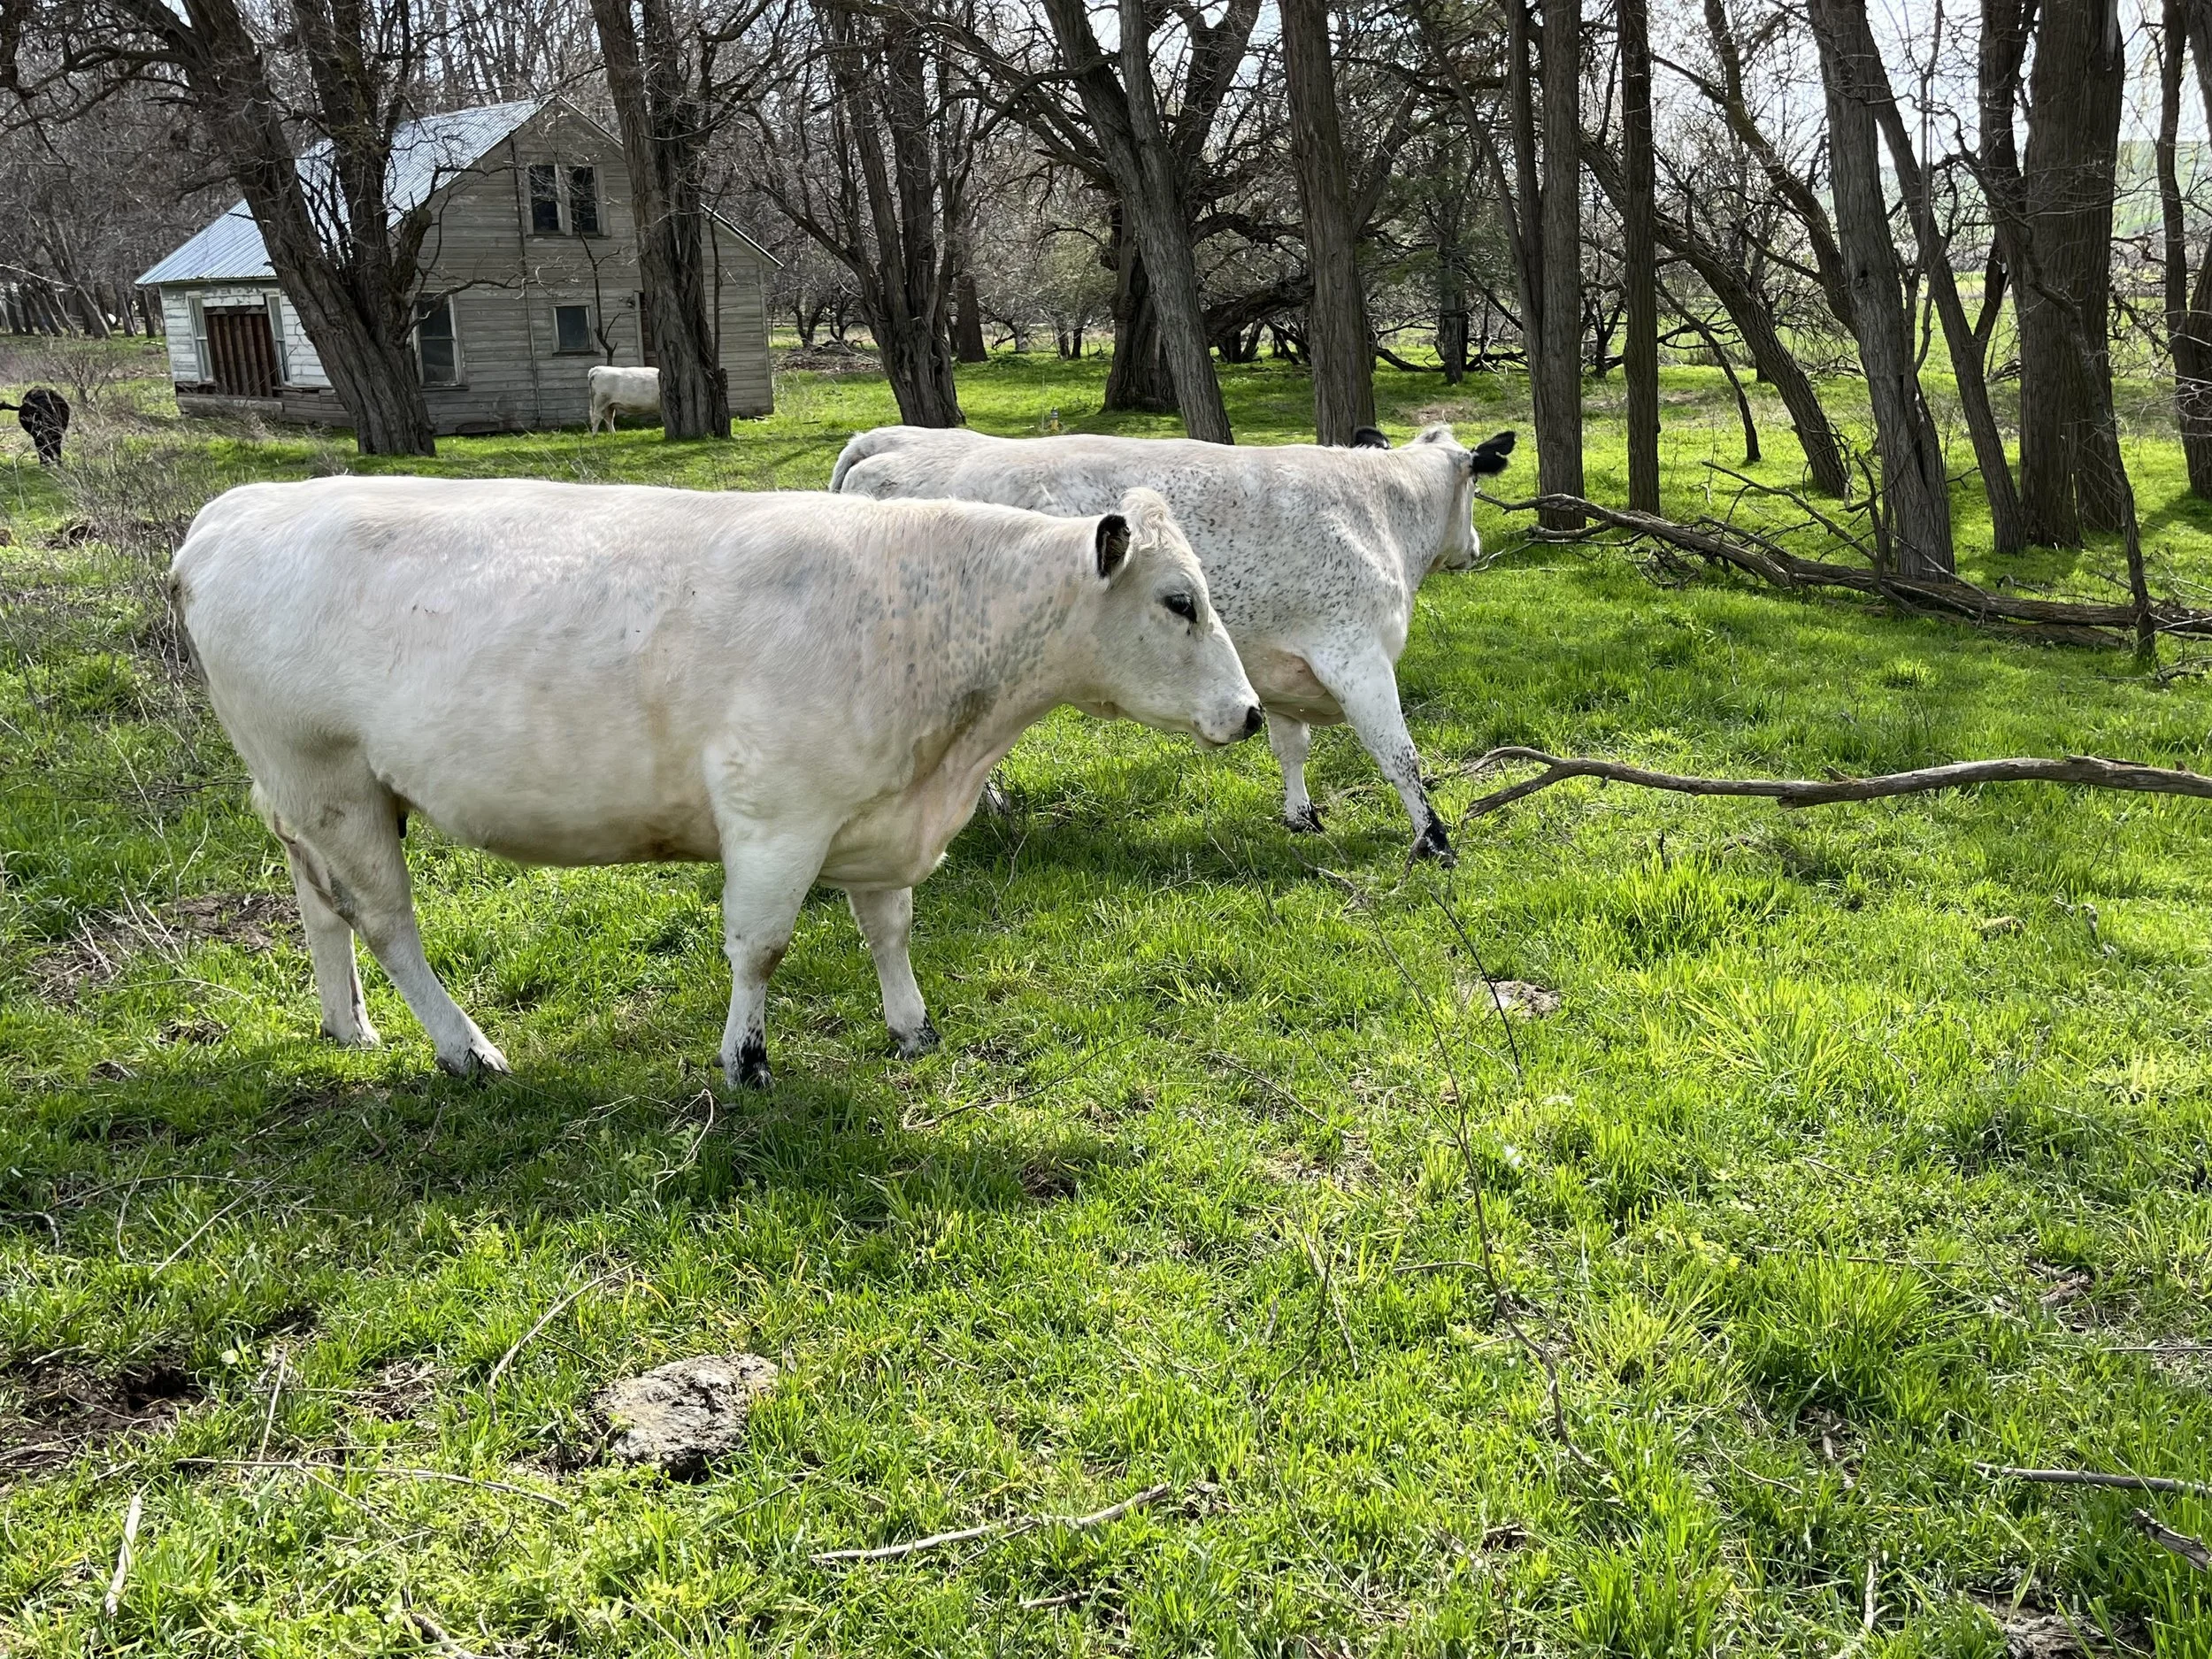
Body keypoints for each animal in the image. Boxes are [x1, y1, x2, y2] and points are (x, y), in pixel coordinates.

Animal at [171, 476, 1260, 1087]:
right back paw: (465, 1051)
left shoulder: (873, 815)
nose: (1250, 712)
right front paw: (746, 1059)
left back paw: (347, 1027)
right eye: (1180, 601)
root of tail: (230, 512)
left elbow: (889, 928)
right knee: (387, 922)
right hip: (329, 777)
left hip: (308, 794)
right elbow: (761, 947)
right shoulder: (775, 816)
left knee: (321, 905)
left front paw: (910, 1026)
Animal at [831, 422, 1515, 864]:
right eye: (1474, 489)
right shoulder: (1356, 657)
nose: (1476, 547)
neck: (1377, 506)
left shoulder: (1280, 672)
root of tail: (891, 441)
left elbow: (1291, 747)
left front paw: (1302, 816)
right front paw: (1434, 840)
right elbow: (1400, 755)